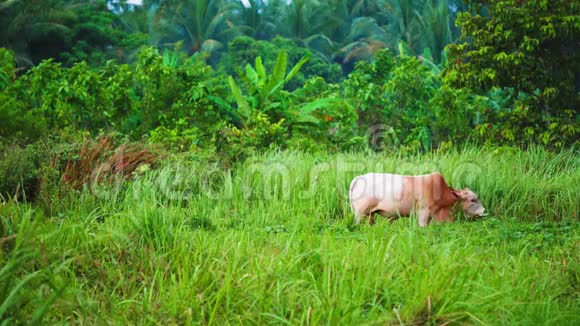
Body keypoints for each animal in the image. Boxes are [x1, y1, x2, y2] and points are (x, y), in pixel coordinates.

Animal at [346, 173, 488, 227]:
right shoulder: (423, 215)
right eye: (473, 199)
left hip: (370, 215)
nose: (484, 211)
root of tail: (358, 178)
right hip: (360, 214)